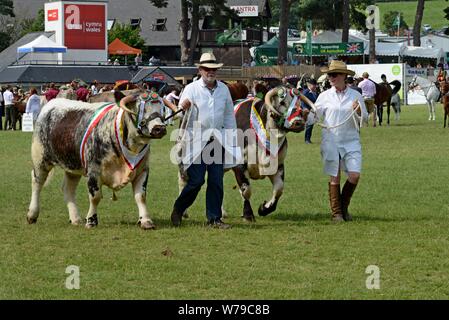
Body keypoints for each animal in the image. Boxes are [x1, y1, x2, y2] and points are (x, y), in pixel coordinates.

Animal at [26, 91, 166, 229]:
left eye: (162, 108)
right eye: (139, 108)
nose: (159, 128)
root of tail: (51, 103)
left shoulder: (142, 170)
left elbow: (140, 196)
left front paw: (146, 220)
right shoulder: (93, 170)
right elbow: (95, 197)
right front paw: (91, 221)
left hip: (72, 166)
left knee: (68, 188)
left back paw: (75, 218)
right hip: (40, 159)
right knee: (37, 182)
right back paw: (32, 215)